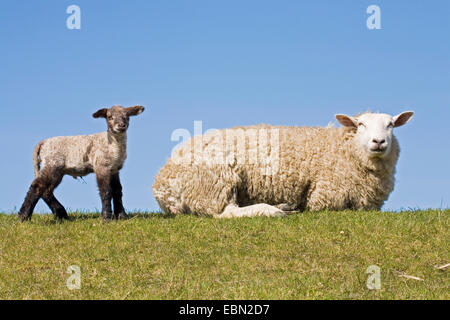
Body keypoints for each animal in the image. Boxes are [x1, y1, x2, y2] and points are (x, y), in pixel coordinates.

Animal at [153, 110, 414, 218]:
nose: (378, 141)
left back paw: (283, 206)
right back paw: (273, 211)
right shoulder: (326, 197)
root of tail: (162, 184)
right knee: (224, 213)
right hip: (214, 181)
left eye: (391, 124)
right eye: (360, 125)